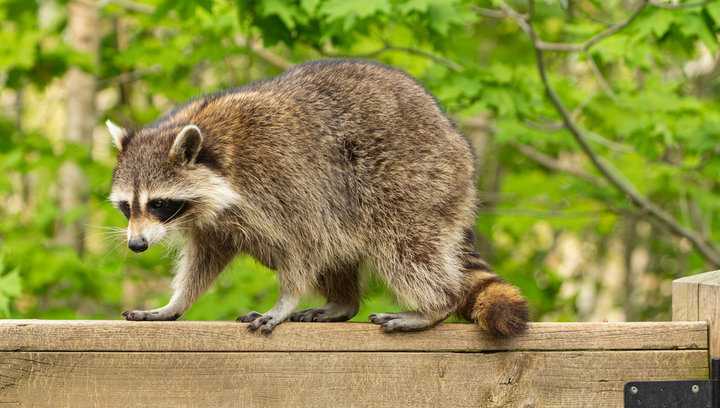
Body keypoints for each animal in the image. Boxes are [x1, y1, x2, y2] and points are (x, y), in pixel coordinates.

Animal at [107, 59, 528, 336]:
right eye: (127, 207)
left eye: (158, 204)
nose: (136, 245)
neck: (217, 152)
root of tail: (453, 136)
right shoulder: (213, 222)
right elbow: (204, 260)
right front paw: (175, 303)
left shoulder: (284, 179)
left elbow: (303, 245)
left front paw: (284, 300)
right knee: (339, 248)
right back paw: (343, 302)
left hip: (413, 181)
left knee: (404, 247)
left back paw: (435, 305)